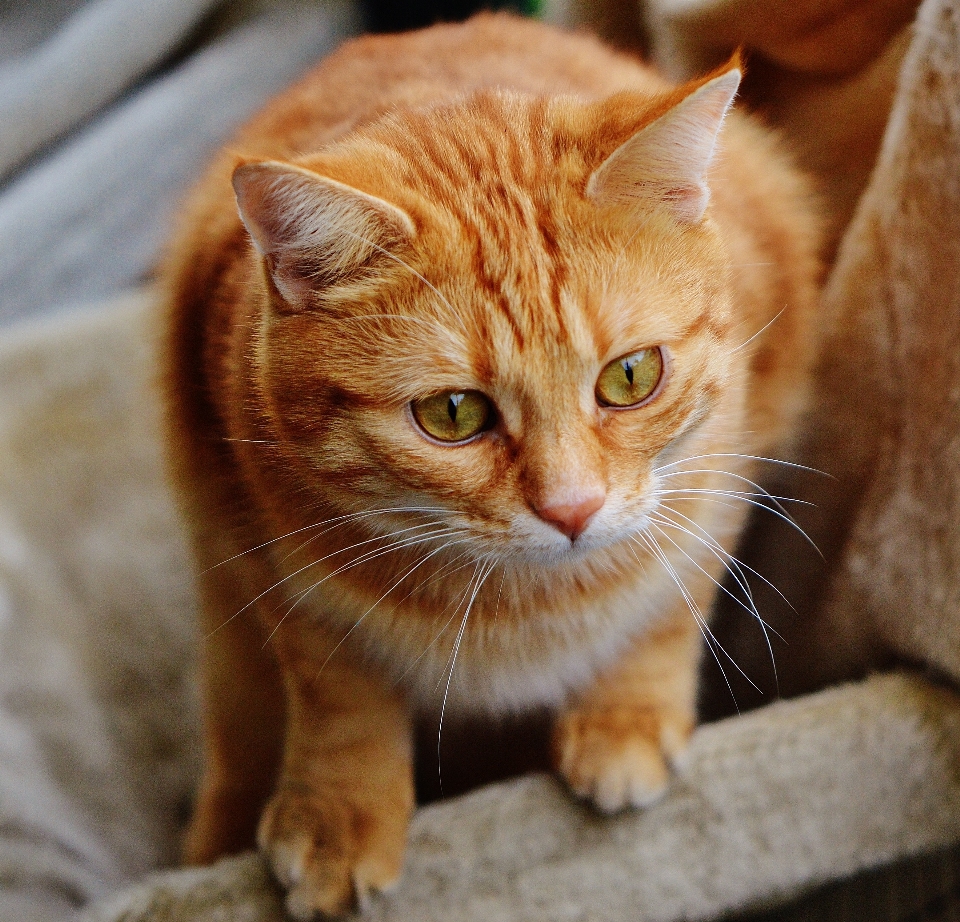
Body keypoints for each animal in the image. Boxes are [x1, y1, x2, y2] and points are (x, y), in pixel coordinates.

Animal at [161, 10, 820, 916]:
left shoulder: (722, 477)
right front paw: (341, 813)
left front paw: (624, 719)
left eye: (631, 376)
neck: (525, 605)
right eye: (454, 414)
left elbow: (666, 605)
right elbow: (339, 692)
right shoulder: (268, 559)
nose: (572, 509)